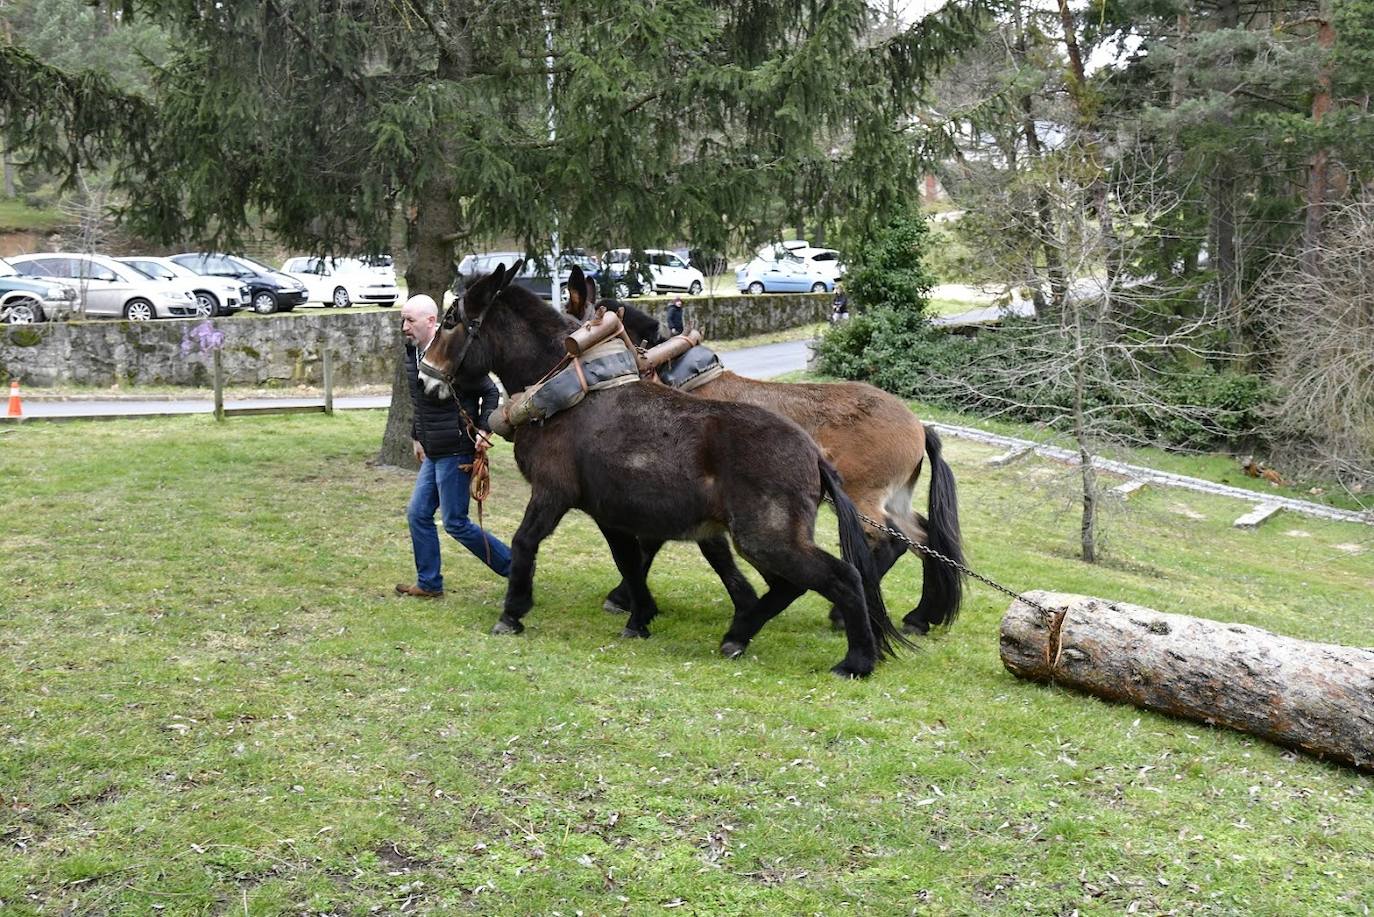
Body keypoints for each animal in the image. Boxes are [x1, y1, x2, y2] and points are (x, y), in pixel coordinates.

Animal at [579, 294, 967, 637]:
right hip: (893, 499)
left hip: (863, 499)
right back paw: (919, 617)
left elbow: (651, 543)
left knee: (890, 543)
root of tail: (918, 425)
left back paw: (843, 615)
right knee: (923, 538)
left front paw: (623, 598)